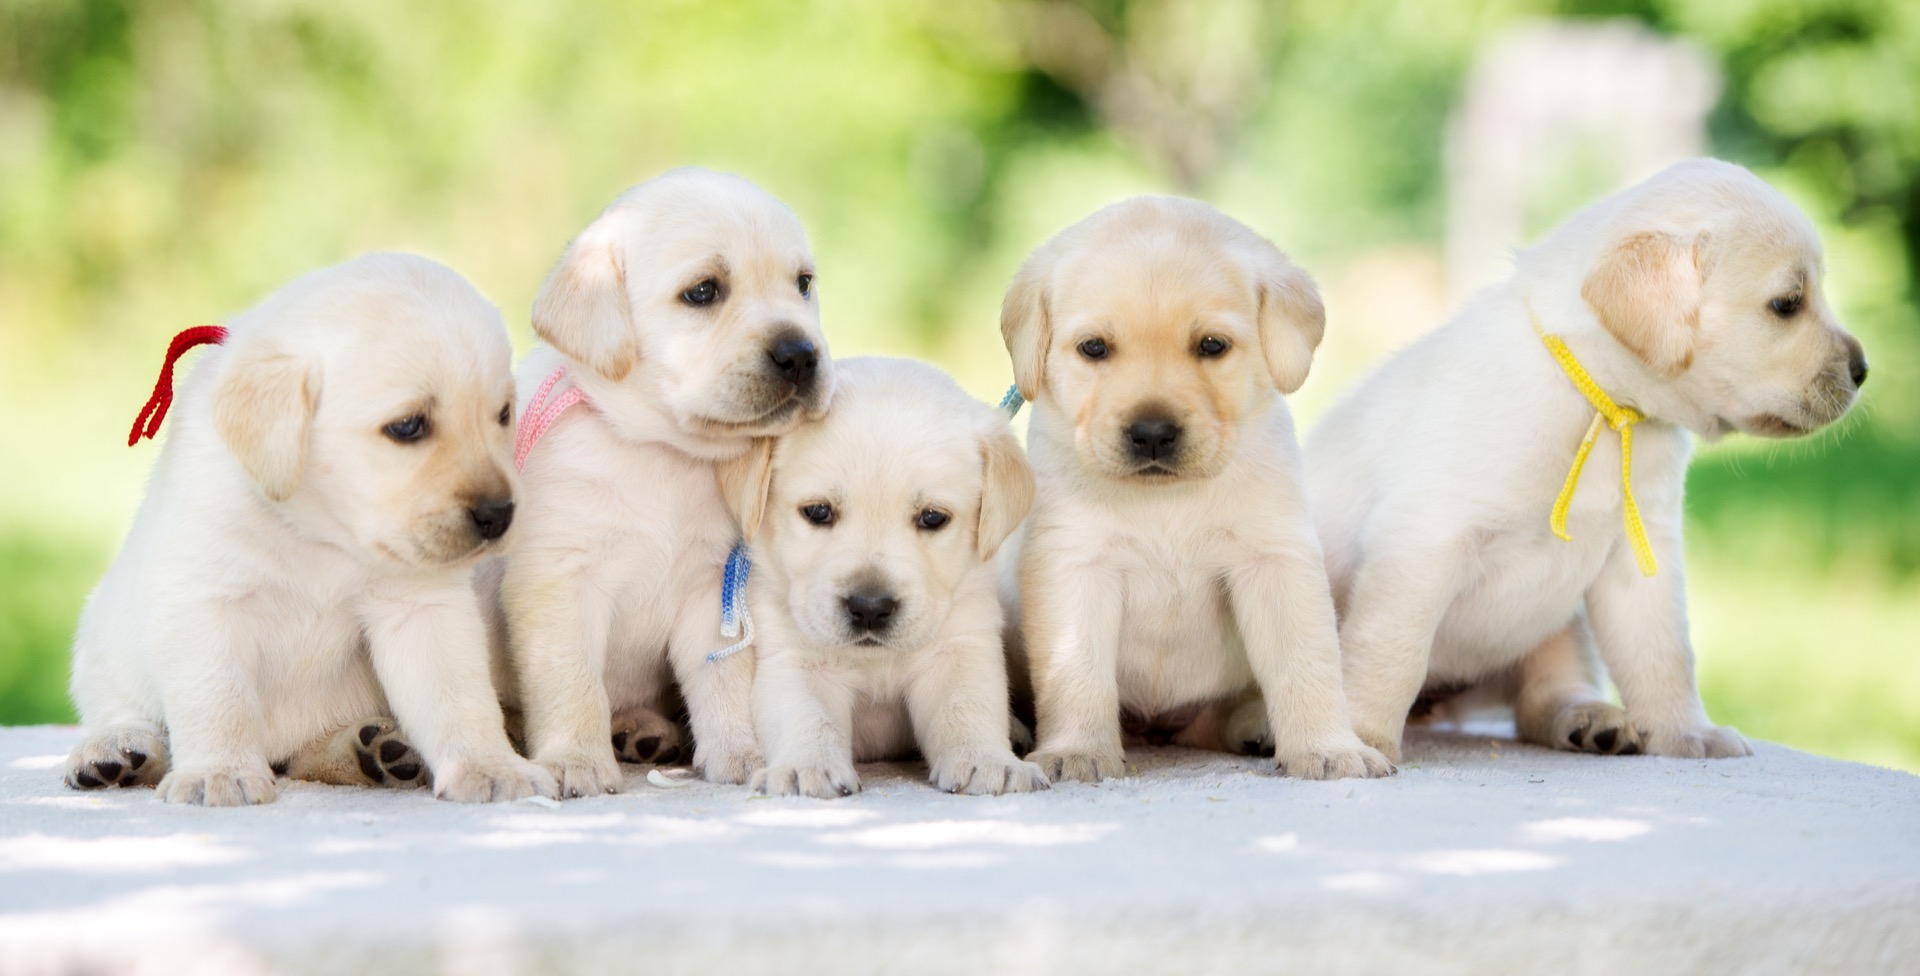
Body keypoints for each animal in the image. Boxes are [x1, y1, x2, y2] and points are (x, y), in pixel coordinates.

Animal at [63, 253, 552, 806]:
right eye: (407, 426)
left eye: (503, 414)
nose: (499, 515)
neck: (321, 529)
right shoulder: (204, 601)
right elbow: (217, 700)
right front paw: (219, 771)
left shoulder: (422, 607)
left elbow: (460, 697)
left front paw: (492, 767)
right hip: (101, 638)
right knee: (119, 708)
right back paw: (116, 751)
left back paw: (373, 750)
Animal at [503, 170, 833, 791]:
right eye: (703, 291)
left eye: (803, 284)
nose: (802, 355)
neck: (663, 452)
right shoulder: (559, 584)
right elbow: (571, 682)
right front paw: (575, 758)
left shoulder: (711, 591)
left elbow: (724, 684)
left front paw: (740, 754)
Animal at [721, 355, 1052, 795]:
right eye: (818, 512)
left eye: (933, 517)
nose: (869, 608)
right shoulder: (795, 660)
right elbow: (809, 717)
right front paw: (806, 767)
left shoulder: (959, 645)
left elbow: (966, 708)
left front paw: (987, 760)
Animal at [998, 197, 1390, 783]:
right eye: (1094, 348)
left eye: (1211, 345)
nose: (1152, 433)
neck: (1167, 500)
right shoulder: (1073, 565)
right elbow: (1076, 670)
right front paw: (1078, 750)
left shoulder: (1274, 560)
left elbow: (1306, 664)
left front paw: (1329, 747)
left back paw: (1257, 726)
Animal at [1290, 160, 1858, 764]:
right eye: (1787, 303)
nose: (1863, 369)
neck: (1599, 405)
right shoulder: (1423, 541)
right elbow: (1390, 651)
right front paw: (1363, 738)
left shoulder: (1640, 551)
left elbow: (1665, 654)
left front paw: (1686, 732)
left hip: (1564, 624)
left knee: (1544, 696)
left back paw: (1590, 720)